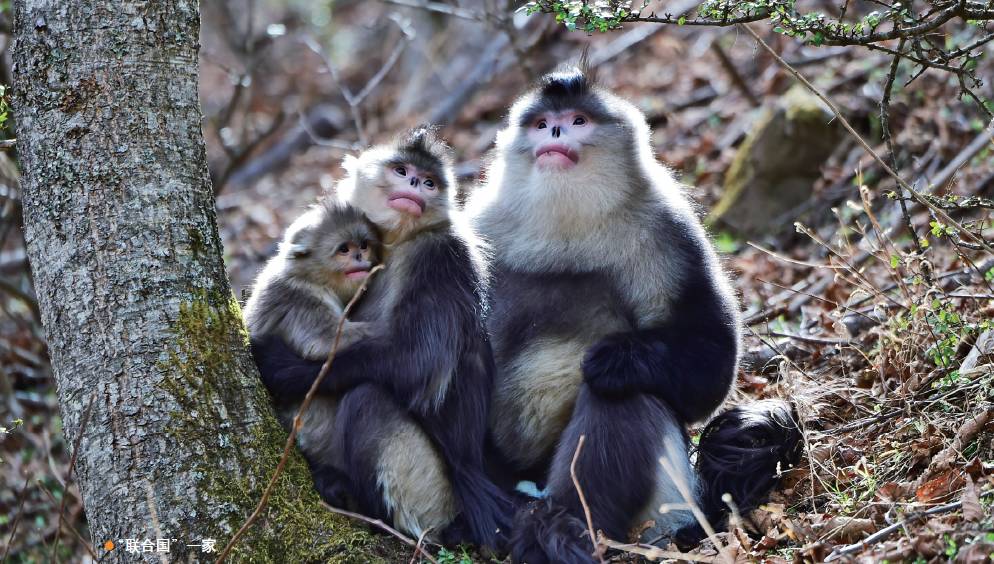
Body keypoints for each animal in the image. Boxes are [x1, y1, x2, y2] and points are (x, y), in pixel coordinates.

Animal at [242, 200, 378, 504]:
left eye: (363, 246)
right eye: (344, 249)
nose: (360, 257)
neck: (309, 277)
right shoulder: (300, 300)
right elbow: (325, 345)